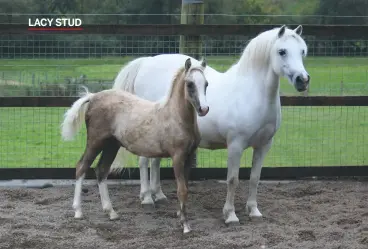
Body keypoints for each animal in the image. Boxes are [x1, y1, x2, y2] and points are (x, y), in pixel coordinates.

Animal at [61, 57, 208, 233]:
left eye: (206, 84)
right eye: (190, 84)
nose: (204, 109)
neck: (175, 117)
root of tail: (94, 96)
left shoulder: (189, 156)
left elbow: (185, 188)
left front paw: (180, 216)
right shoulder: (177, 157)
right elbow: (182, 190)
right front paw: (185, 225)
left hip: (112, 145)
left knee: (101, 170)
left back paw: (111, 212)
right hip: (95, 142)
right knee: (82, 166)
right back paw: (78, 211)